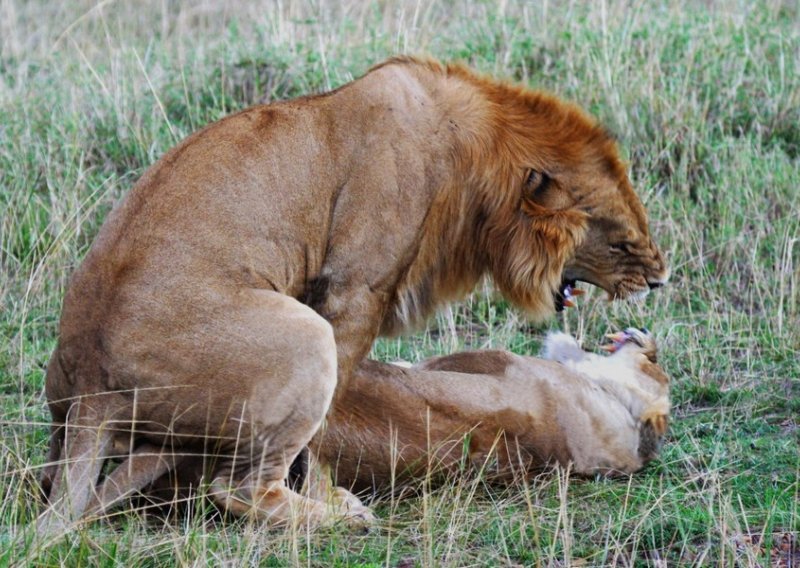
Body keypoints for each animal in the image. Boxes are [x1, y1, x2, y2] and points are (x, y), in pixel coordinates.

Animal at [39, 55, 668, 532]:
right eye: (622, 242)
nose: (660, 280)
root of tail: (92, 390)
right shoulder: (354, 292)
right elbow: (326, 423)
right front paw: (330, 493)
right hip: (303, 337)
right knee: (239, 488)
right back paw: (340, 519)